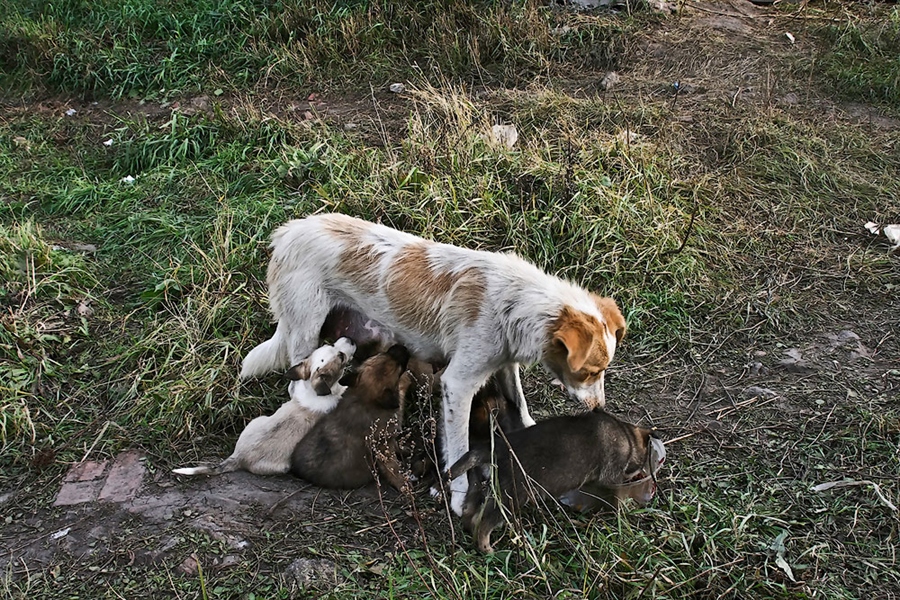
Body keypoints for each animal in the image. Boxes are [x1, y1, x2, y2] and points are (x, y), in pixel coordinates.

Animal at [290, 342, 414, 492]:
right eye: (399, 367)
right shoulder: (384, 445)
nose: (403, 346)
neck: (365, 396)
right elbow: (393, 468)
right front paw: (404, 485)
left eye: (380, 354)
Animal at [446, 408, 656, 552]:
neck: (626, 435)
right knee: (483, 522)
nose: (642, 474)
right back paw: (486, 548)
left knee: (469, 511)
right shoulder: (612, 474)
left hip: (481, 485)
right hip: (511, 496)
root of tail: (493, 449)